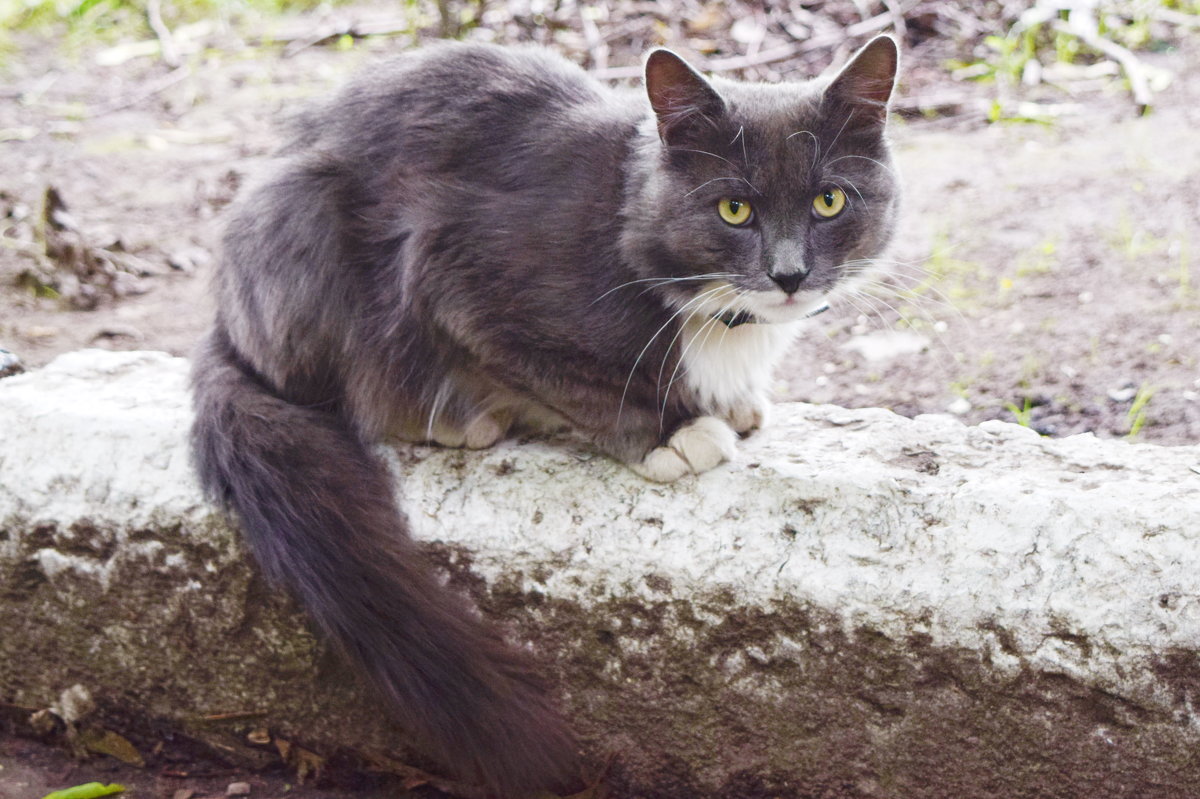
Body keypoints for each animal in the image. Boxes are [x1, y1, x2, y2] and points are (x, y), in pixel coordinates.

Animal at [189, 37, 902, 796]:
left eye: (830, 200)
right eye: (734, 209)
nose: (789, 274)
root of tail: (225, 318)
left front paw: (731, 397)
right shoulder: (455, 269)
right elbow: (571, 379)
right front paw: (673, 432)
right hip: (308, 228)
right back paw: (456, 416)